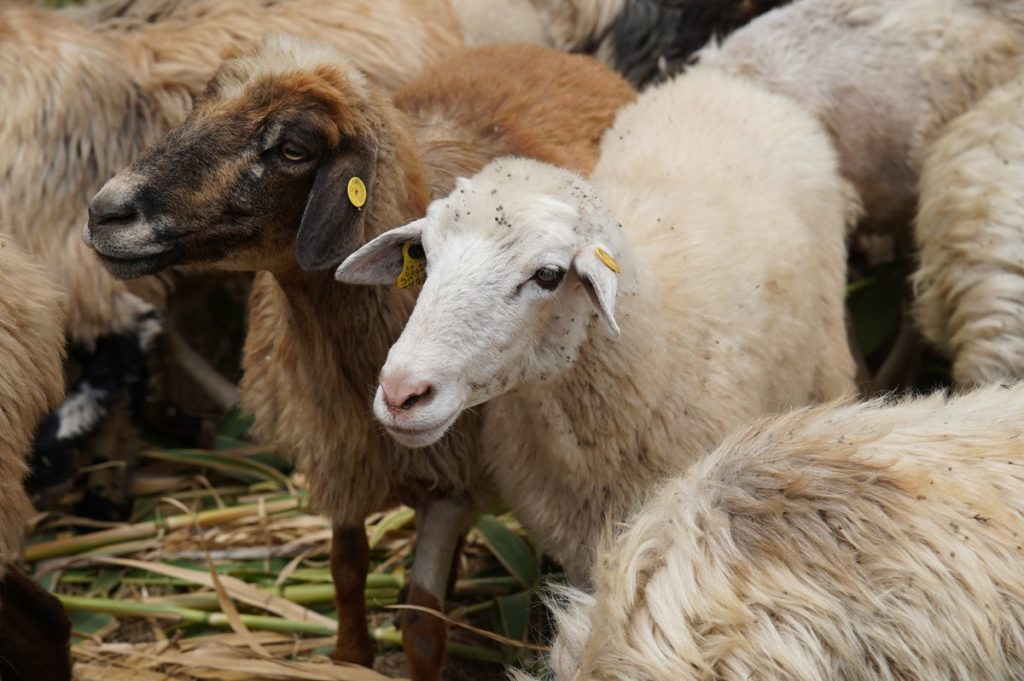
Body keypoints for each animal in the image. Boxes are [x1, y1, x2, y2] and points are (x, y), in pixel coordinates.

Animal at [83, 36, 634, 679]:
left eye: (293, 148)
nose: (106, 213)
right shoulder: (336, 450)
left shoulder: (452, 475)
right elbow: (346, 568)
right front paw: (348, 657)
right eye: (200, 106)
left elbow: (422, 624)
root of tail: (556, 54)